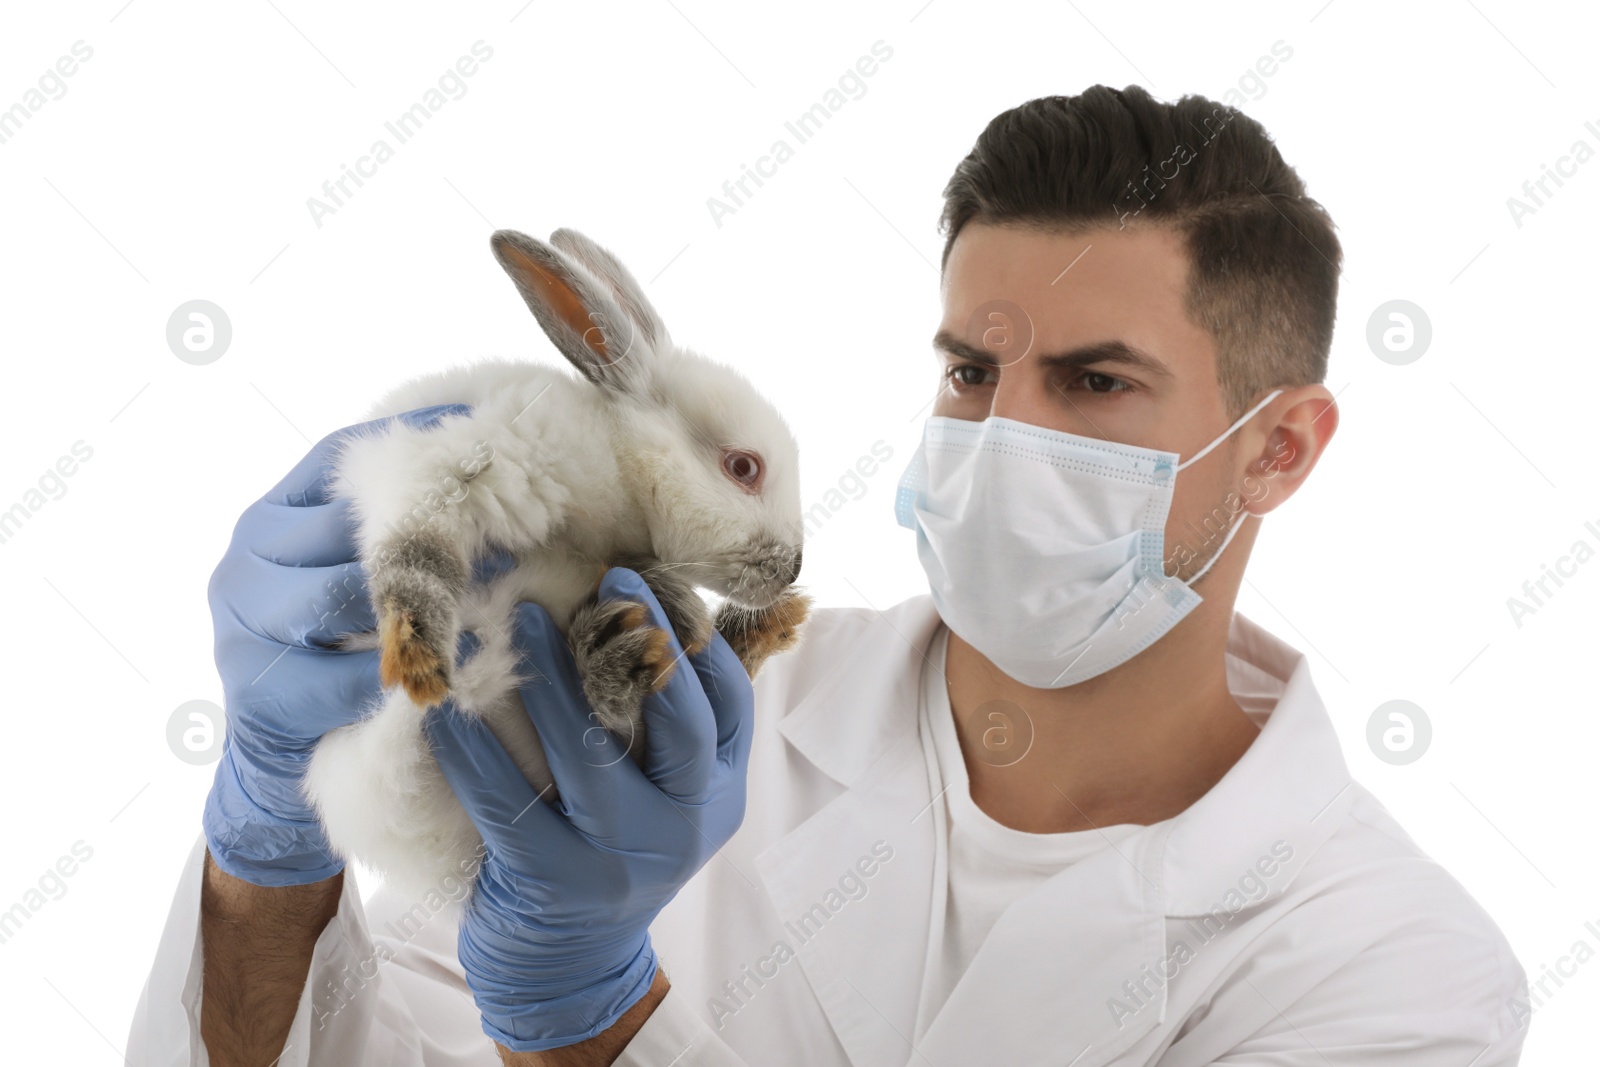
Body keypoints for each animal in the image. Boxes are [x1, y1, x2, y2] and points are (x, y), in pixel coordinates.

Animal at [302, 227, 812, 902]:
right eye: (744, 467)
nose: (795, 569)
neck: (616, 462)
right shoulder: (453, 470)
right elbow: (413, 555)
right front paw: (416, 655)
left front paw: (675, 597)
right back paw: (622, 657)